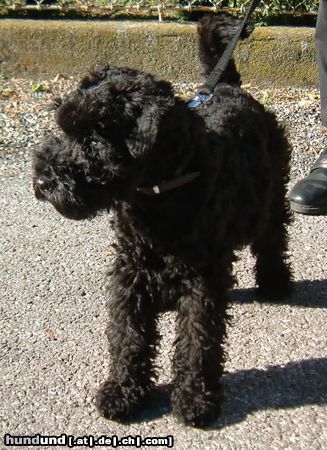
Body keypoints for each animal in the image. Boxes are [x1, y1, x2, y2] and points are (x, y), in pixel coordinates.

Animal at [33, 15, 294, 428]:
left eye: (94, 140)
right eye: (65, 129)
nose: (42, 181)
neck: (161, 193)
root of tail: (227, 87)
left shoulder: (202, 278)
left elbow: (197, 340)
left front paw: (194, 398)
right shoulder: (130, 268)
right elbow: (127, 335)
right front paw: (123, 390)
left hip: (269, 201)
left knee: (272, 240)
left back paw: (276, 284)